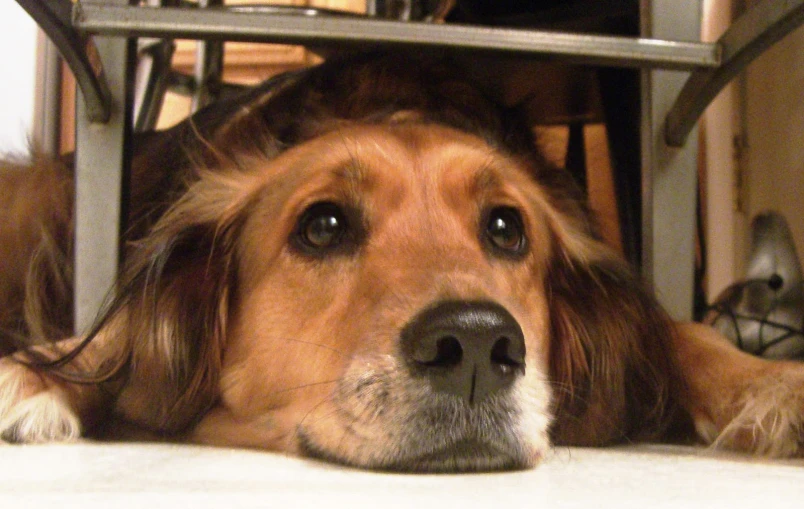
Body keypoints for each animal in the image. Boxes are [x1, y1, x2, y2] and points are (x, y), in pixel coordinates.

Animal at [0, 52, 800, 472]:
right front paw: (37, 371)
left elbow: (681, 331)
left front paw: (771, 382)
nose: (475, 344)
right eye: (322, 225)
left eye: (507, 227)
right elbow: (109, 336)